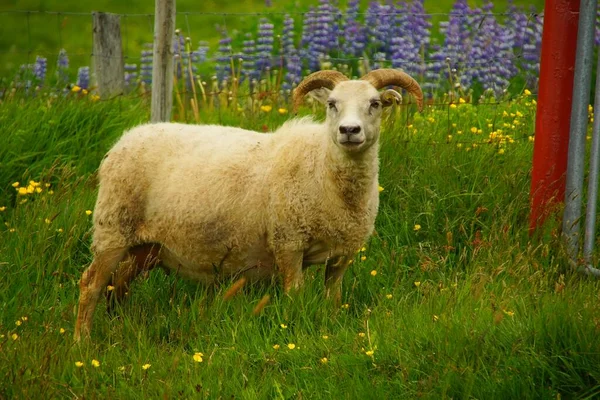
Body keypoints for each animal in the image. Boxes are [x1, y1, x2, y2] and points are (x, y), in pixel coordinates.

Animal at [74, 69, 422, 340]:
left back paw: (119, 326)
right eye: (332, 105)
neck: (322, 166)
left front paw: (331, 326)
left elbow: (333, 297)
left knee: (119, 284)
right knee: (91, 284)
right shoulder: (288, 242)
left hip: (147, 246)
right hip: (113, 228)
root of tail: (124, 139)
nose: (349, 131)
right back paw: (83, 341)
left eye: (374, 104)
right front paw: (296, 330)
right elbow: (294, 296)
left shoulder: (343, 252)